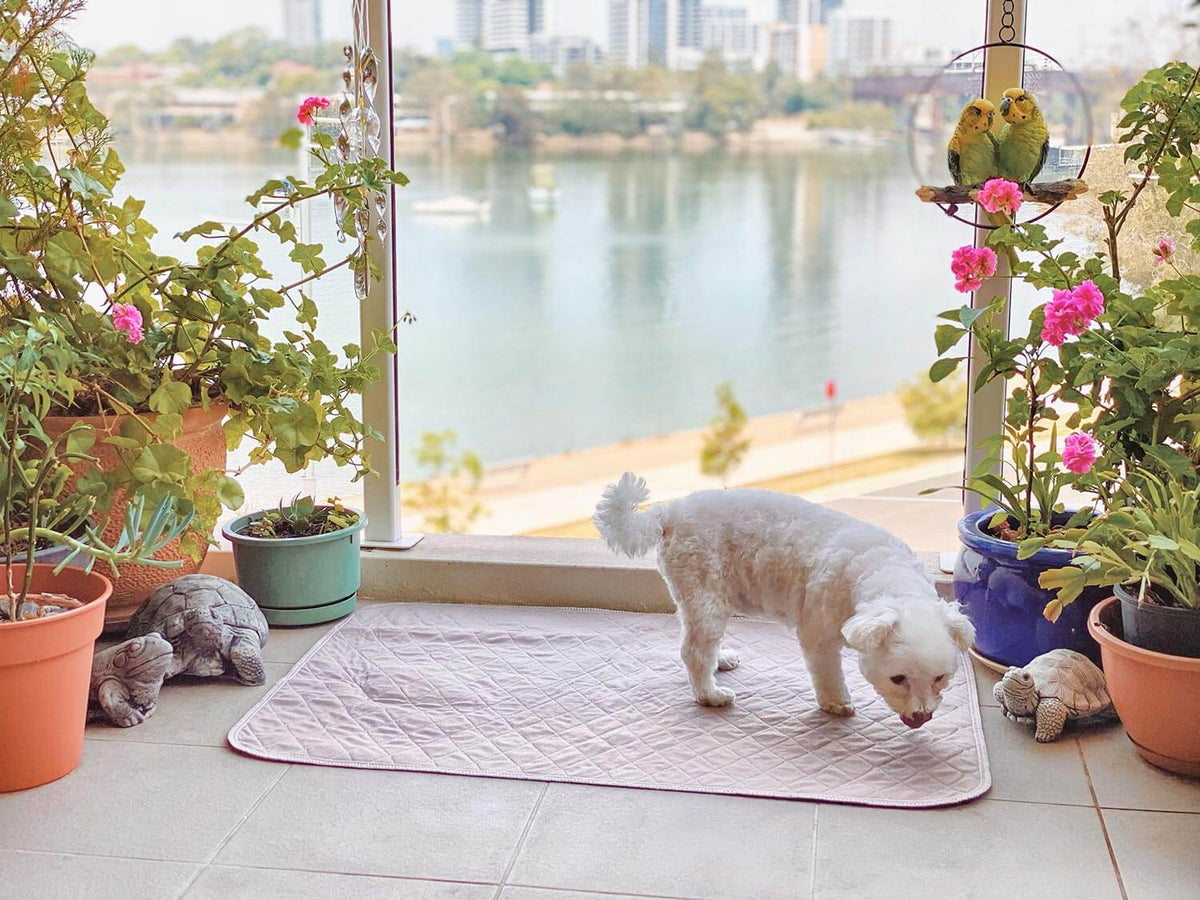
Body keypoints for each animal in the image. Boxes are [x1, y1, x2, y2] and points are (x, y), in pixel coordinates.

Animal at [590, 475, 974, 729]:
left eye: (940, 677)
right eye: (898, 678)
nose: (922, 718)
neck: (882, 572)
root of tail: (669, 512)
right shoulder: (818, 637)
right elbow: (828, 675)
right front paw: (836, 703)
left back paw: (720, 660)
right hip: (705, 595)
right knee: (694, 653)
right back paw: (710, 694)